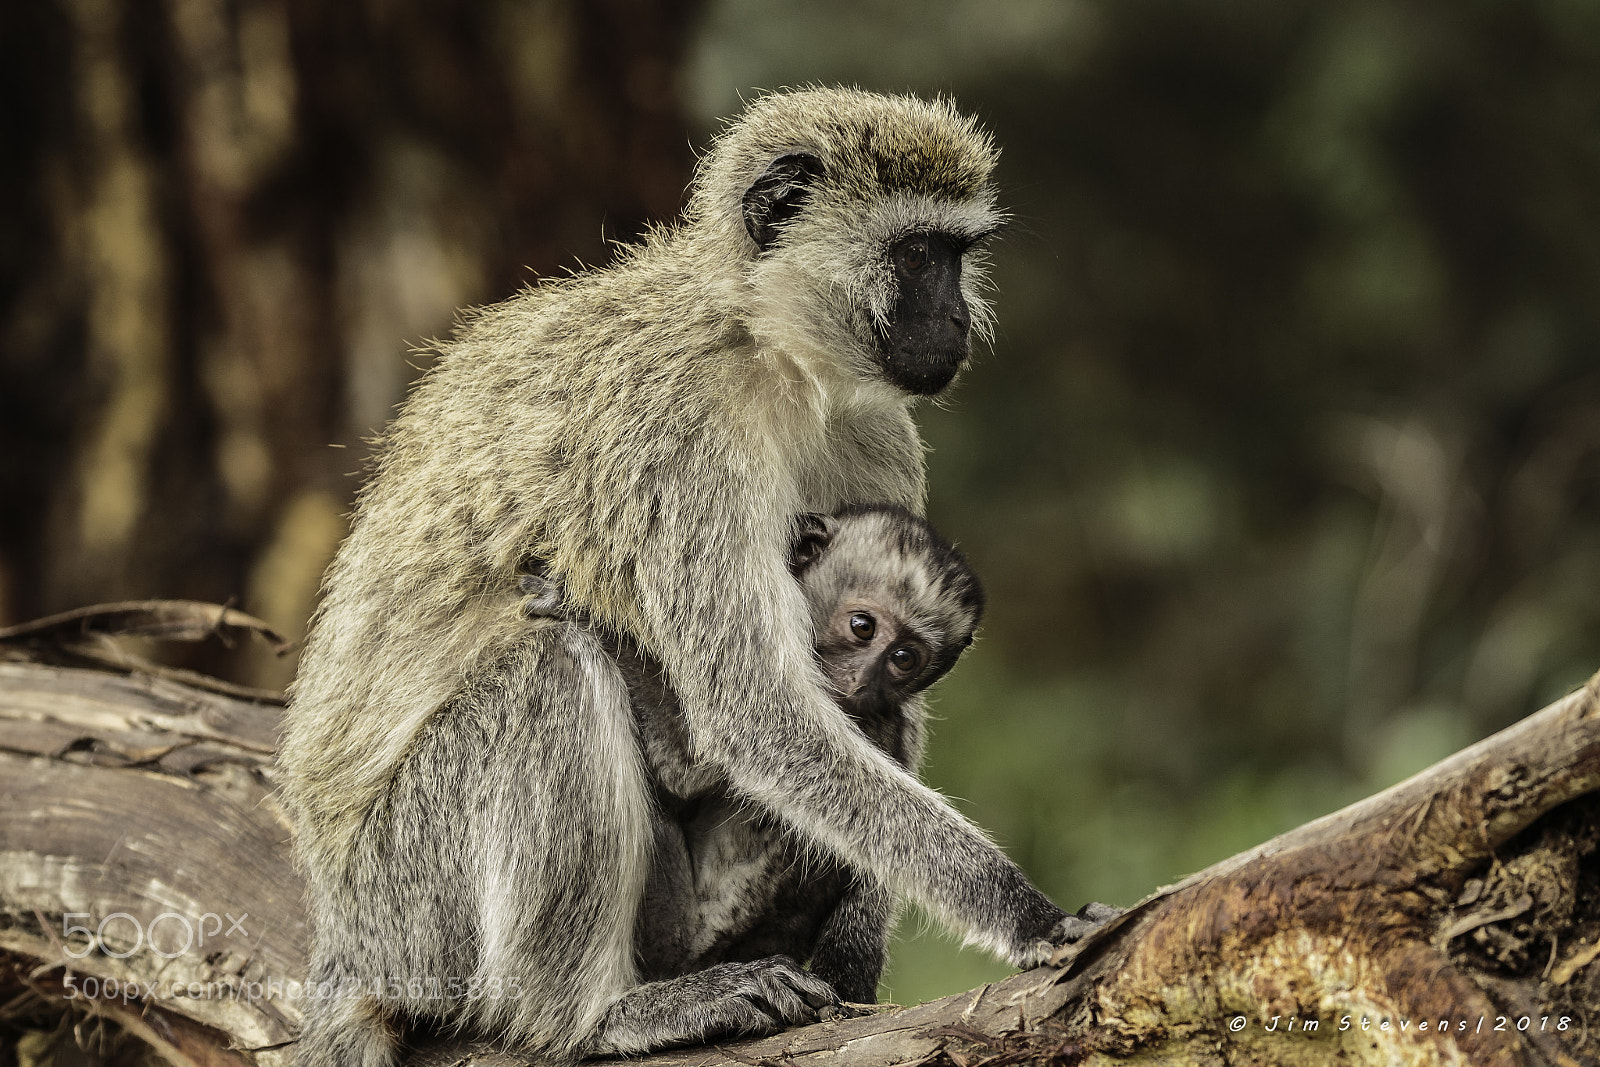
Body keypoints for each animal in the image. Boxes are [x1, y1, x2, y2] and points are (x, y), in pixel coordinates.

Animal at [517, 504, 986, 1008]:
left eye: (903, 658)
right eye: (863, 628)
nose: (861, 680)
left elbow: (687, 770)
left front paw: (579, 608)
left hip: (675, 935)